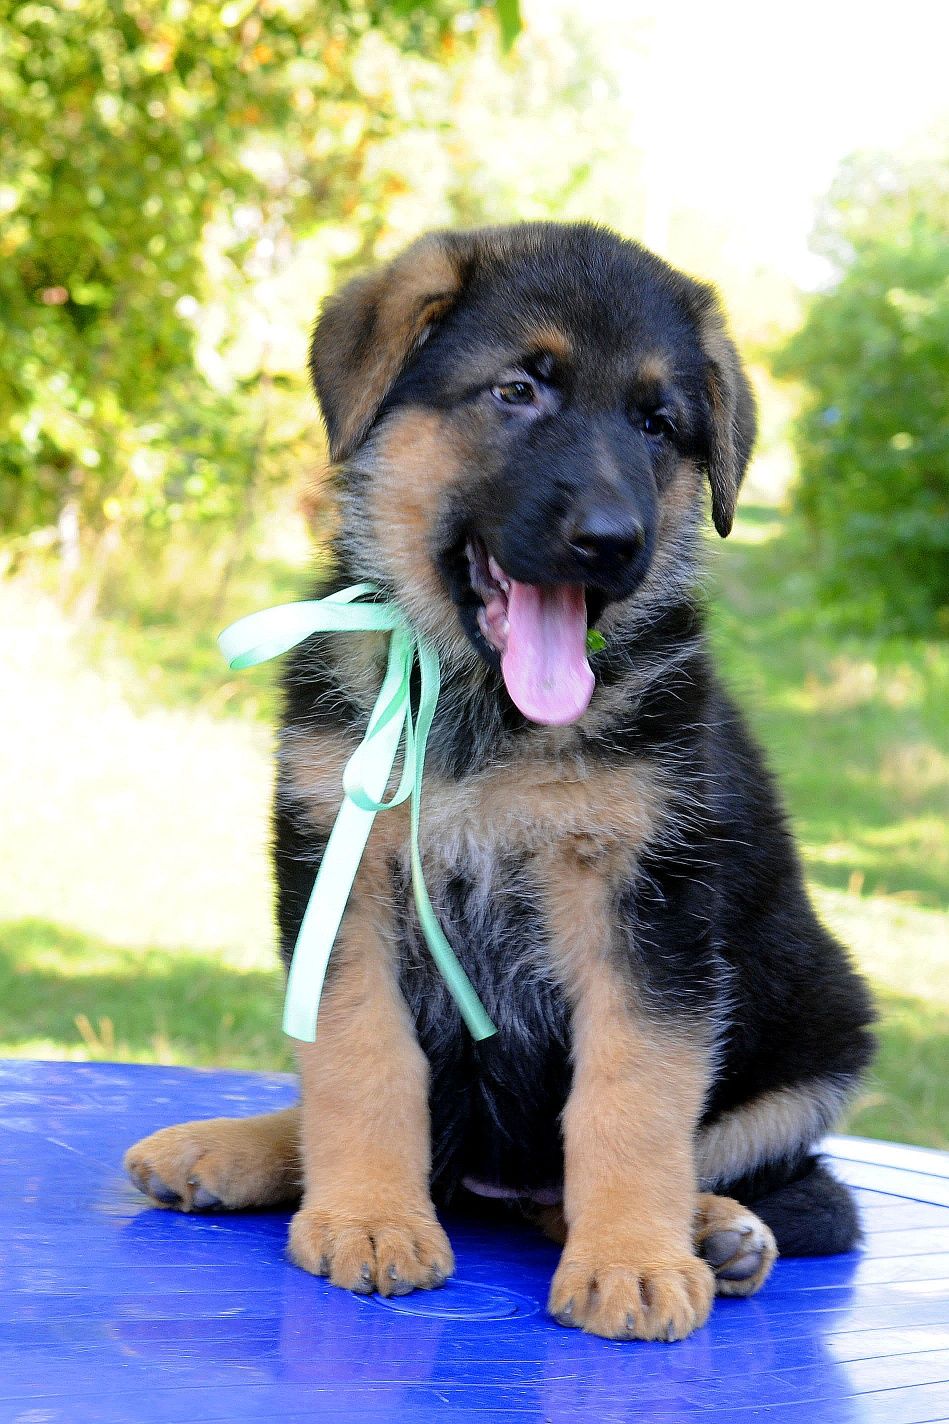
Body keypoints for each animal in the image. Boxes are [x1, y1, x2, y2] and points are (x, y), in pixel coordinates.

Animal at [123, 219, 872, 1332]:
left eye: (658, 423)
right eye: (518, 390)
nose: (610, 541)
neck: (477, 710)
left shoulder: (645, 908)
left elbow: (633, 1094)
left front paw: (632, 1259)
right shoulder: (341, 874)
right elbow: (358, 1060)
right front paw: (369, 1217)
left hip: (822, 1026)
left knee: (711, 1174)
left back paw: (707, 1229)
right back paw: (232, 1151)